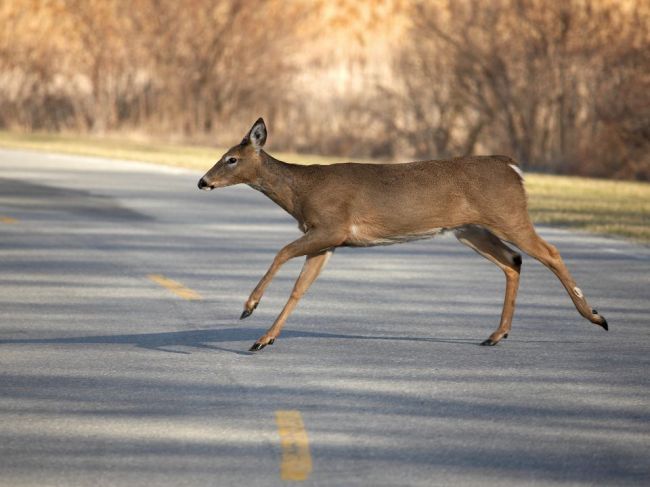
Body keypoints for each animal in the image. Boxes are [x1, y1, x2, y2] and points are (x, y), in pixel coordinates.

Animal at [197, 120, 608, 352]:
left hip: (507, 213)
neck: (301, 193)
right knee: (513, 260)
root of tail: (512, 167)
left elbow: (281, 252)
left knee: (549, 251)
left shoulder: (332, 226)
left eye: (232, 159)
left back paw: (595, 316)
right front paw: (263, 339)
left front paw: (249, 307)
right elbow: (300, 288)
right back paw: (496, 335)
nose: (203, 181)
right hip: (469, 228)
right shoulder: (328, 242)